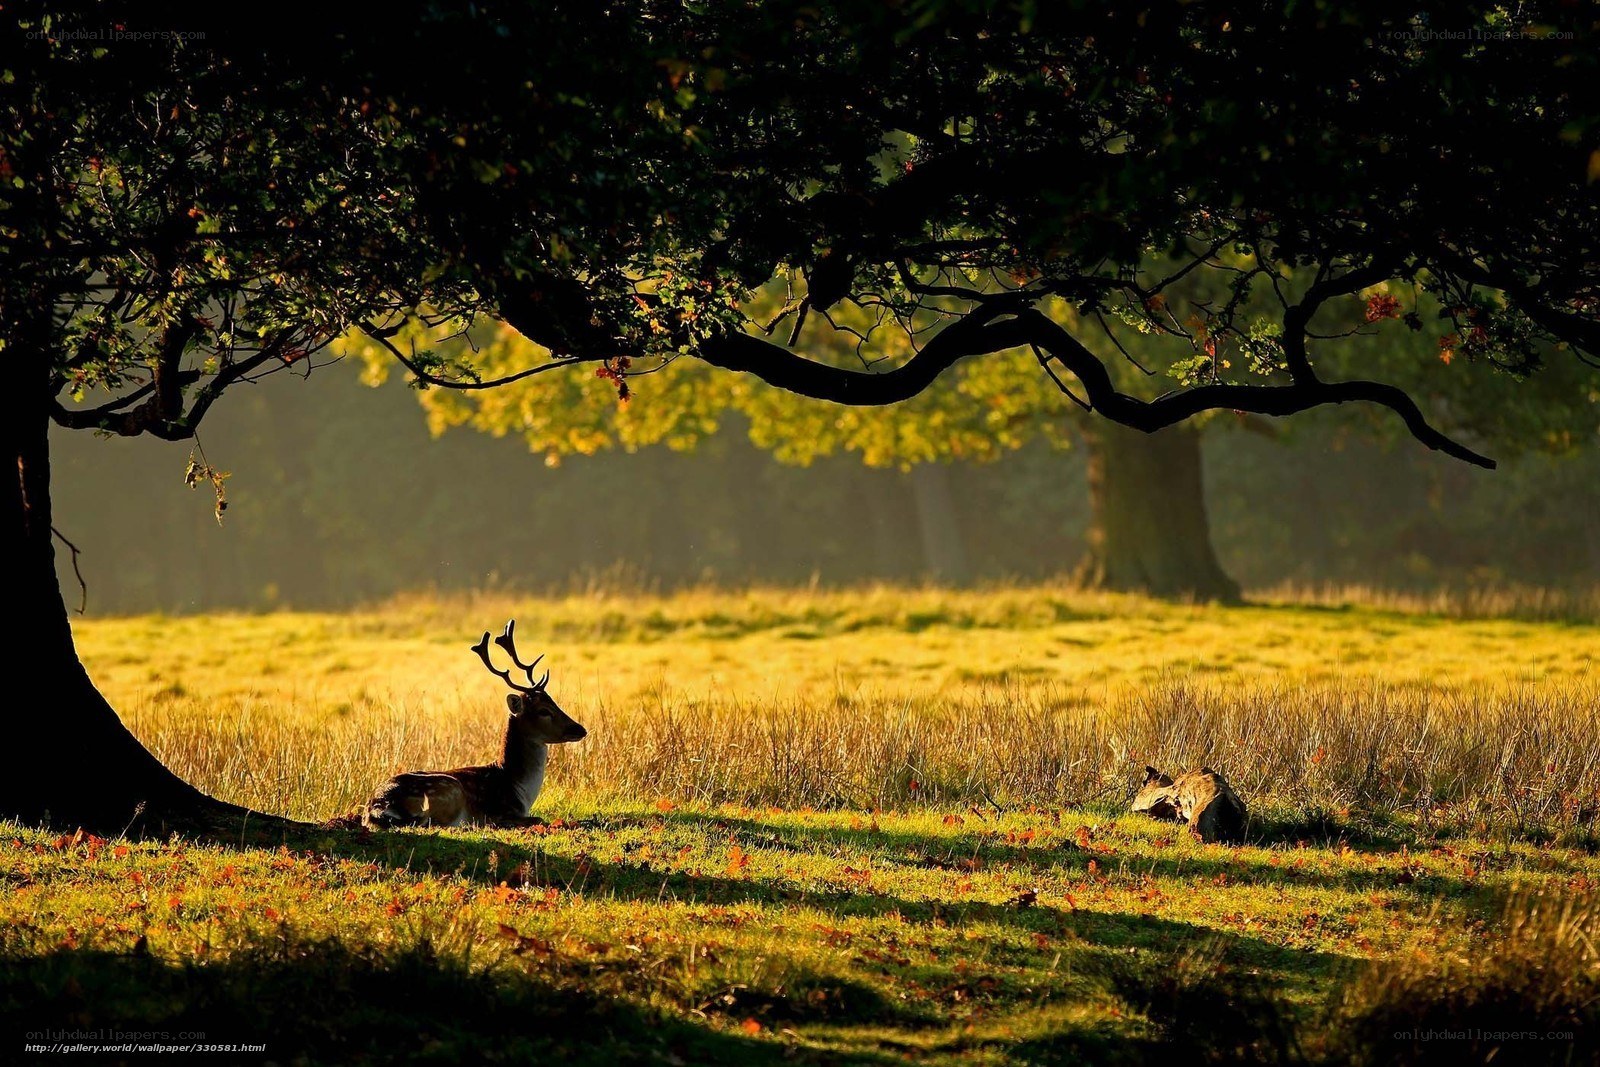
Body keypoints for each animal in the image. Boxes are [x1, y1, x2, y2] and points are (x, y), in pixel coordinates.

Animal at [363, 620, 586, 829]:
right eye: (543, 711)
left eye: (553, 702)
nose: (580, 729)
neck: (518, 789)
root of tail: (377, 808)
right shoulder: (499, 812)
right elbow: (538, 818)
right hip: (449, 789)